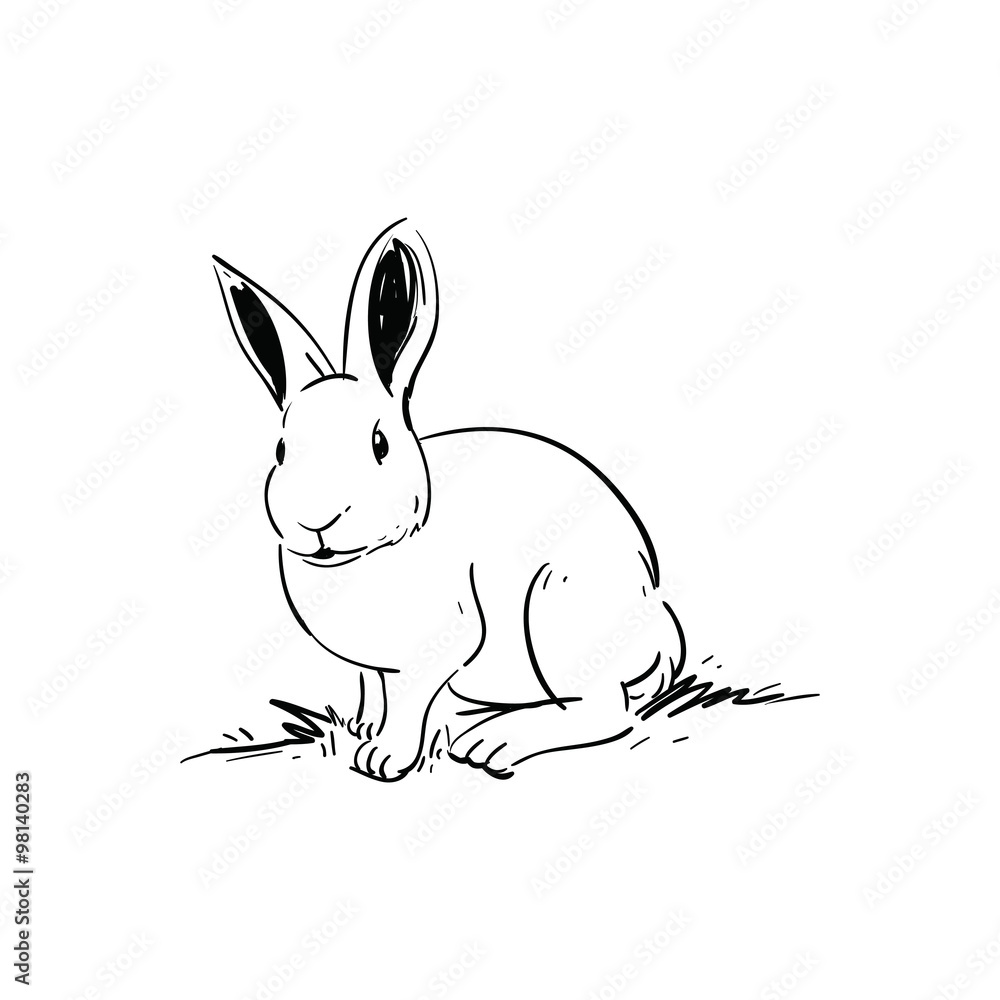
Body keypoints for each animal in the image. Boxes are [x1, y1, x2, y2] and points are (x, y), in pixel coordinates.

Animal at [211, 219, 803, 781]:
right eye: (282, 449)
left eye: (380, 445)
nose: (317, 522)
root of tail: (654, 611)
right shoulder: (372, 667)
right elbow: (372, 690)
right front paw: (360, 729)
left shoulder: (436, 648)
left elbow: (408, 703)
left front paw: (383, 757)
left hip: (558, 614)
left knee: (605, 712)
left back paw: (491, 744)